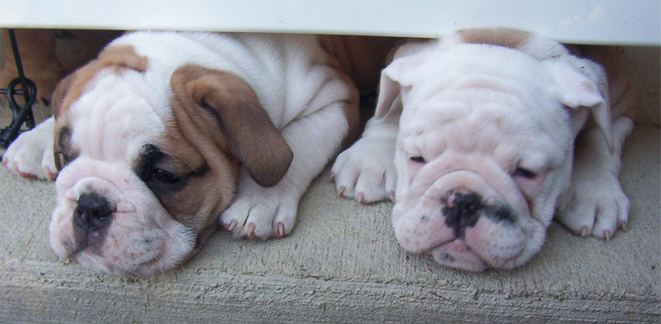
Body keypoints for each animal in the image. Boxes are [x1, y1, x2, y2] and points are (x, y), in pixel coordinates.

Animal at [1, 31, 392, 276]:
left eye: (164, 176)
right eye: (65, 157)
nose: (90, 205)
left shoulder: (334, 96)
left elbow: (296, 144)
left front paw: (261, 200)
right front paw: (37, 137)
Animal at [332, 27, 636, 270]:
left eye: (528, 173)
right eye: (416, 158)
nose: (462, 201)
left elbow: (602, 135)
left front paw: (595, 191)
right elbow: (390, 106)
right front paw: (371, 158)